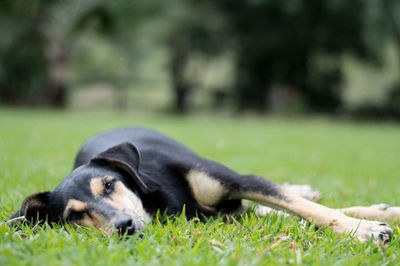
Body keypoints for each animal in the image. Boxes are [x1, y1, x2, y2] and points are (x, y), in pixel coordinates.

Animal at [7, 128, 400, 242]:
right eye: (75, 216)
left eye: (108, 185)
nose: (125, 226)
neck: (160, 197)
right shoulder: (223, 215)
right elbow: (295, 212)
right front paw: (367, 225)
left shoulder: (240, 180)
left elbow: (308, 209)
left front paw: (363, 230)